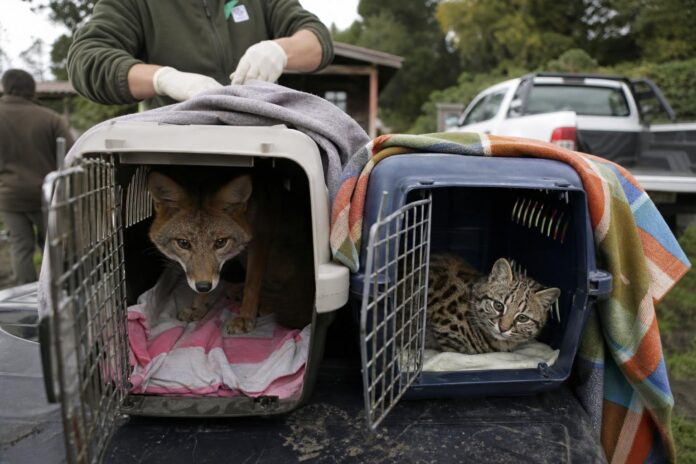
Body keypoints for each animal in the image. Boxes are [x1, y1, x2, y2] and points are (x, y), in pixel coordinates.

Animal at [147, 166, 314, 334]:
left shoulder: (260, 240)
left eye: (220, 242)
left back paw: (266, 303)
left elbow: (252, 285)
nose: (203, 287)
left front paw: (245, 317)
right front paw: (198, 307)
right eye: (184, 243)